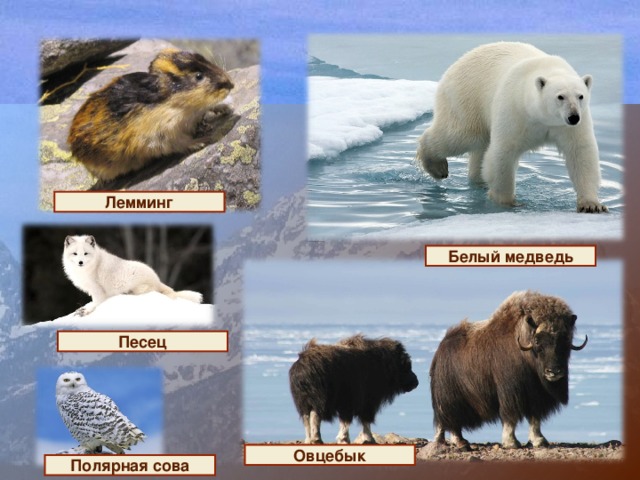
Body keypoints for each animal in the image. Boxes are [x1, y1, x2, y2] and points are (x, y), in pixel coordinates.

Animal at [416, 41, 607, 213]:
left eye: (580, 96)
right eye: (560, 96)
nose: (573, 116)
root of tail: (456, 64)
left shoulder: (569, 126)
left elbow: (581, 153)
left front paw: (591, 205)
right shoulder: (515, 110)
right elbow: (503, 153)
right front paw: (507, 202)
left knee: (479, 149)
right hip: (467, 98)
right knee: (460, 136)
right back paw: (438, 168)